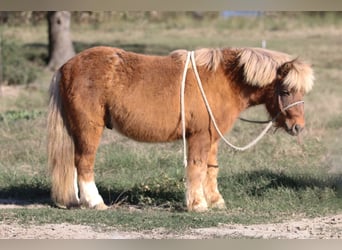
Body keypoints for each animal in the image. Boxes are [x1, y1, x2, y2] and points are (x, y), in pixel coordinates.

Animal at [46, 46, 314, 212]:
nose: (298, 127)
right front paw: (198, 204)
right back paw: (94, 201)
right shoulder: (199, 137)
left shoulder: (212, 139)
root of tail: (66, 67)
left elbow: (211, 169)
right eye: (285, 90)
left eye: (302, 92)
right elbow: (196, 169)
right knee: (84, 163)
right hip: (89, 129)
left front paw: (215, 201)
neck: (223, 81)